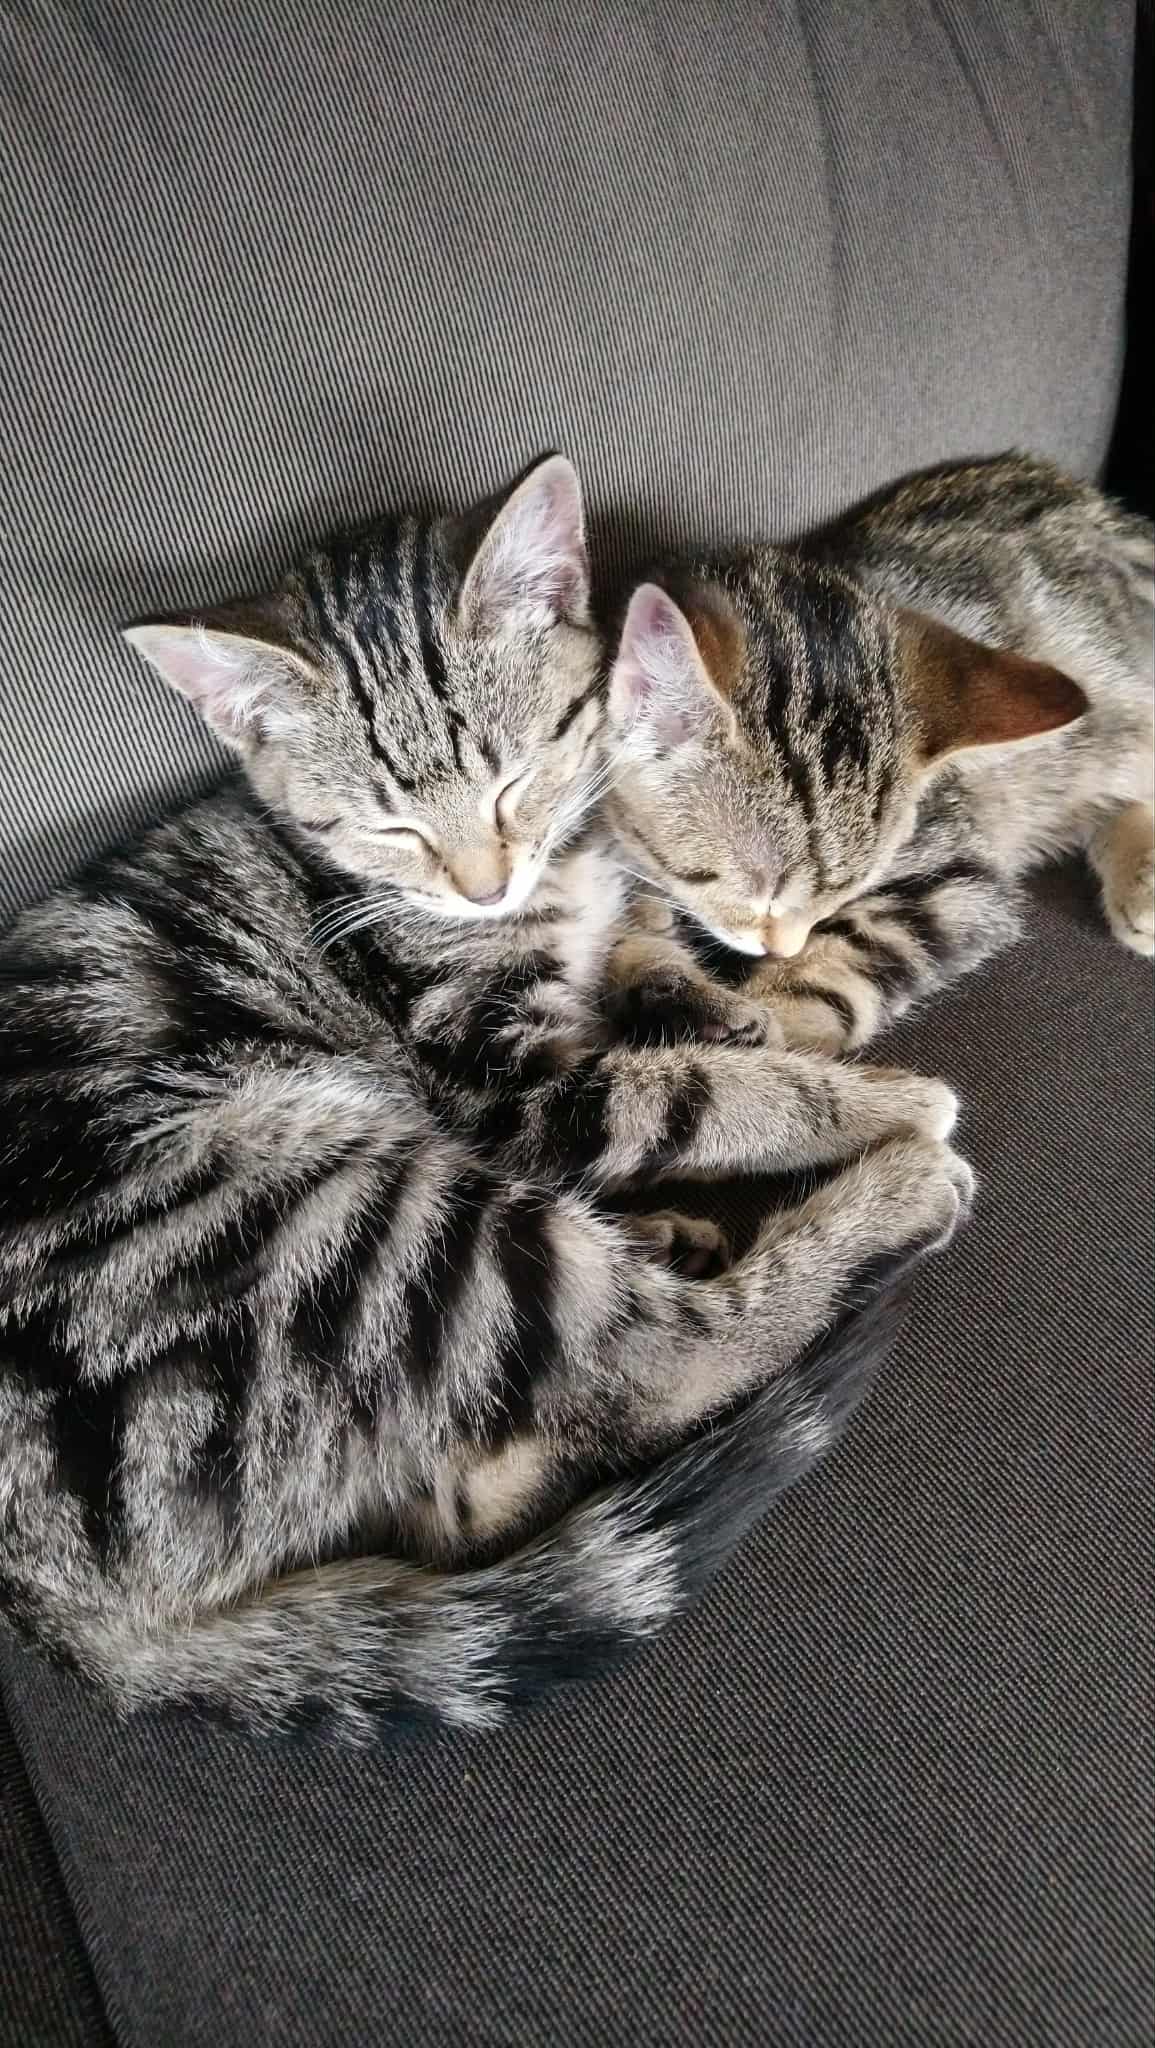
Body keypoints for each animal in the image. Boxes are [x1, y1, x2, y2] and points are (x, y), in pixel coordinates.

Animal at [0, 456, 970, 1744]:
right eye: (390, 824)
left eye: (517, 777)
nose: (482, 883)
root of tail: (56, 1611)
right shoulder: (502, 1080)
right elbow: (688, 1096)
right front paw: (861, 1095)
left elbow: (646, 957)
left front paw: (714, 999)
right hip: (334, 1211)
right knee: (653, 1358)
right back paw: (889, 1193)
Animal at [603, 453, 1154, 1056]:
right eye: (761, 894)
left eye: (846, 893)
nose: (783, 947)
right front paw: (682, 994)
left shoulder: (958, 881)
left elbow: (841, 965)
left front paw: (773, 1036)